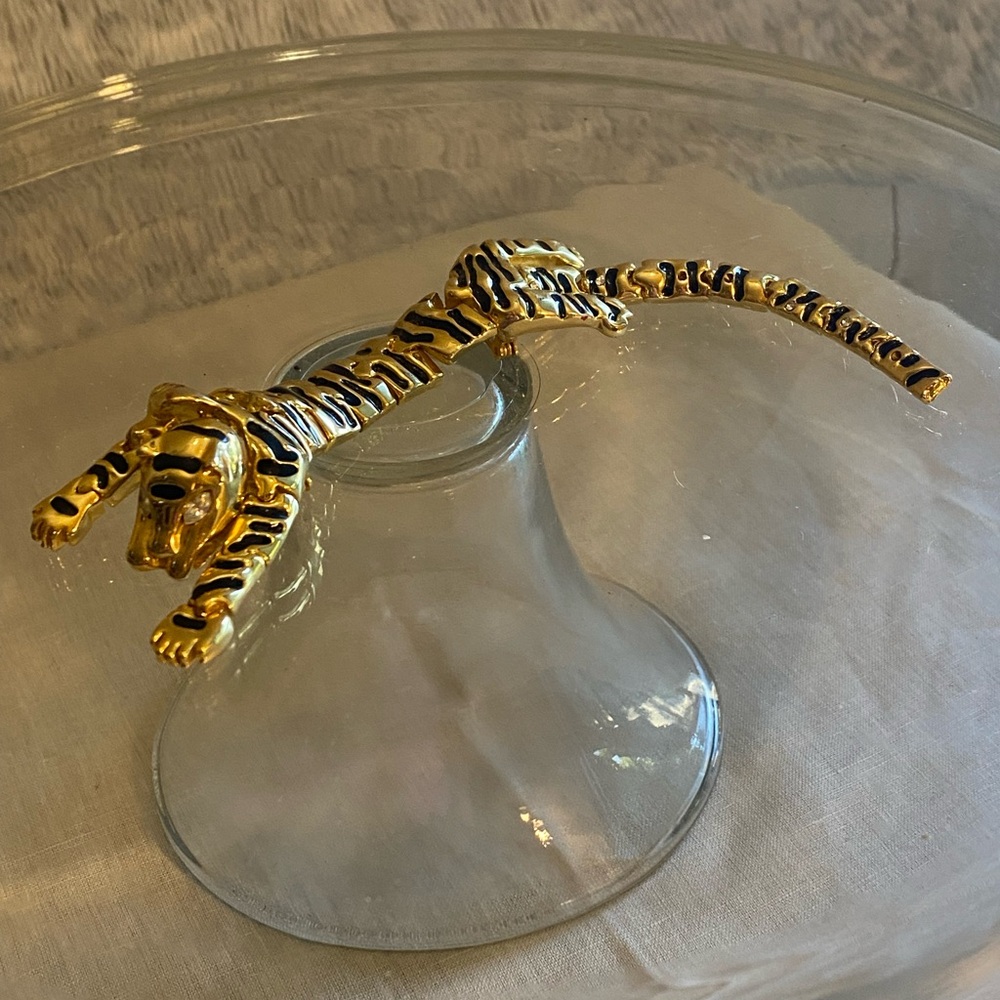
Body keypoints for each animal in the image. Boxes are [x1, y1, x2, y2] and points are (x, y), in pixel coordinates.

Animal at [30, 238, 951, 668]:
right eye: (159, 497)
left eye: (187, 498)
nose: (145, 562)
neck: (239, 425)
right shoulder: (165, 419)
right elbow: (111, 455)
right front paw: (60, 509)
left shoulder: (279, 481)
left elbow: (244, 555)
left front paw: (194, 620)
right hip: (479, 286)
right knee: (515, 259)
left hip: (524, 300)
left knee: (573, 291)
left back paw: (602, 295)